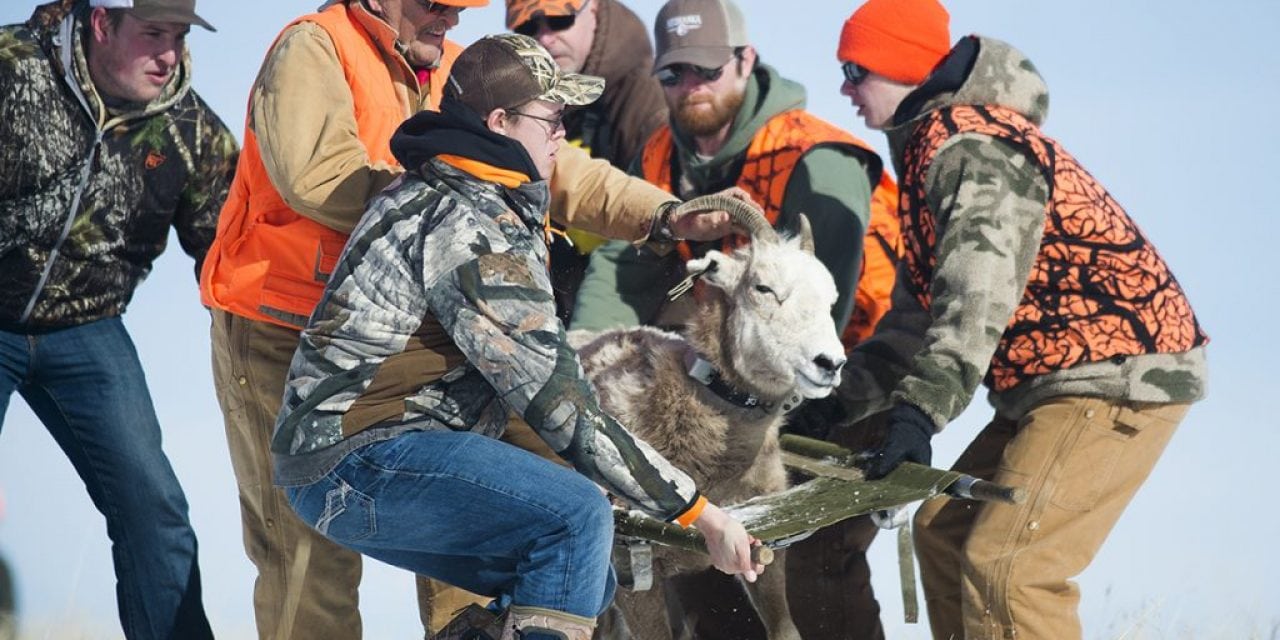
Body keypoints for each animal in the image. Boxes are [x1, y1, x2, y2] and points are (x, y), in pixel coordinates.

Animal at [573, 203, 849, 640]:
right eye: (762, 288)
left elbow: (785, 630)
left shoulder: (766, 557)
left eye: (830, 298)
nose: (830, 364)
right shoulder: (633, 575)